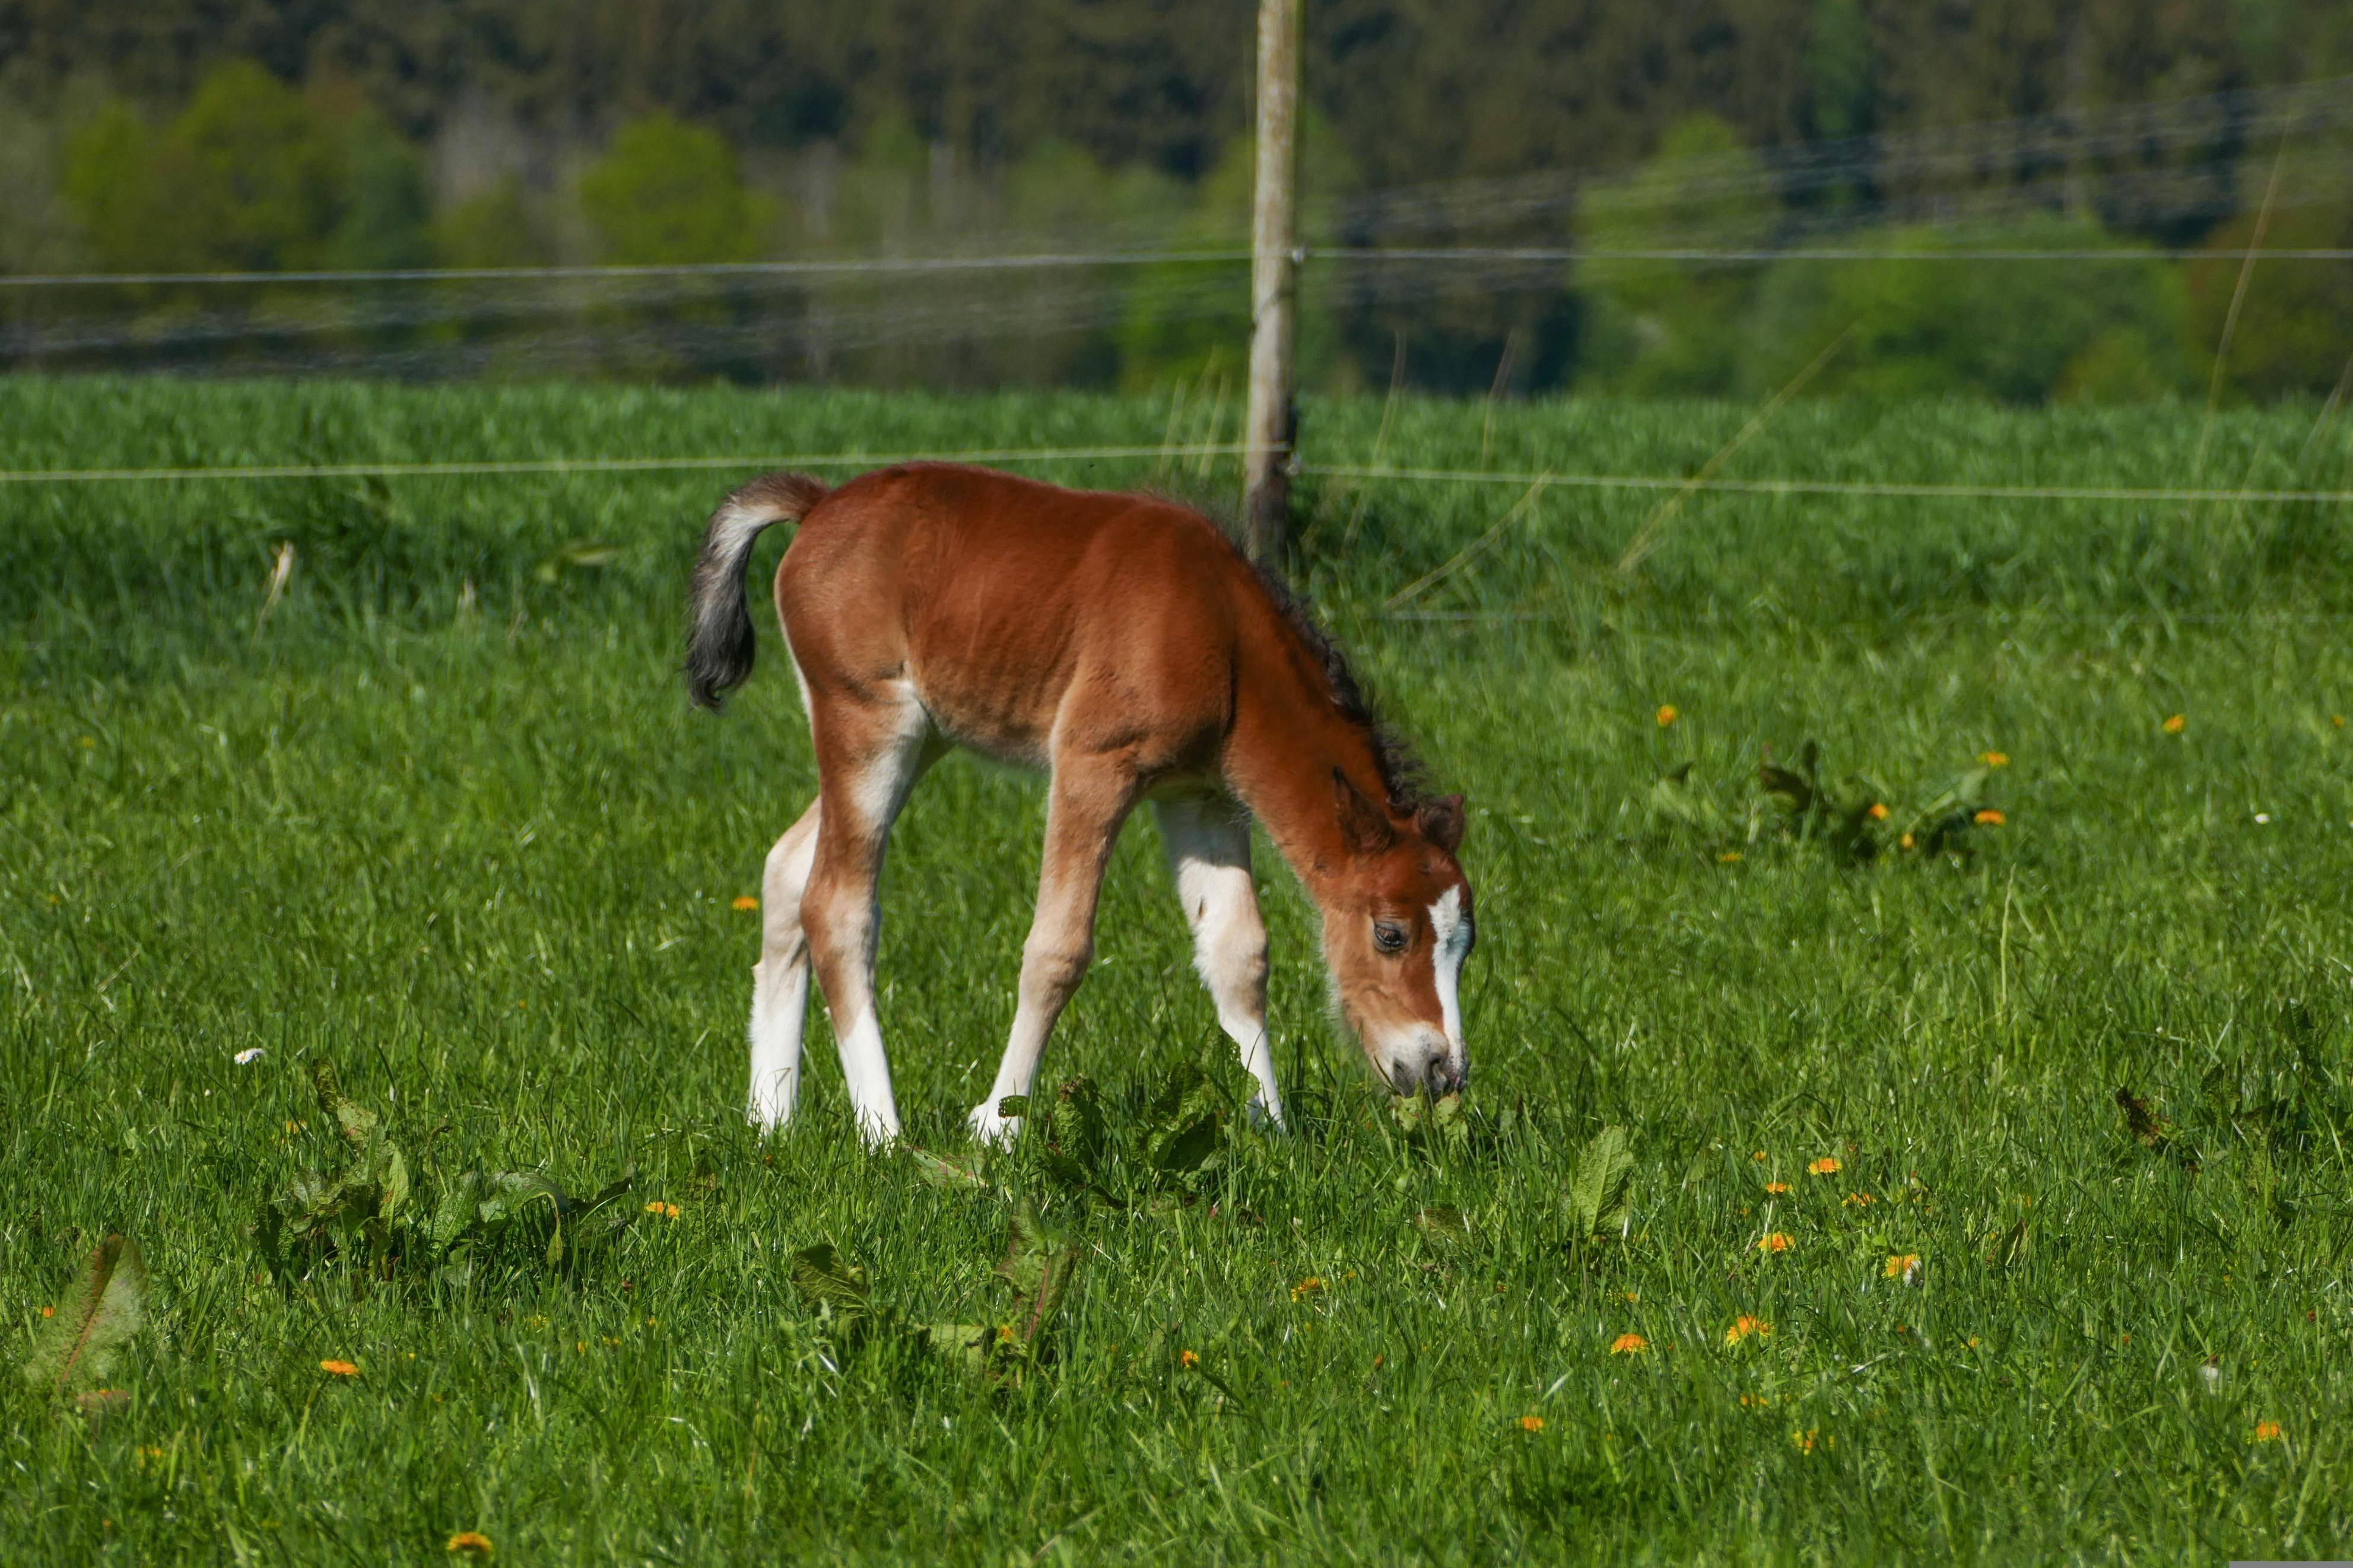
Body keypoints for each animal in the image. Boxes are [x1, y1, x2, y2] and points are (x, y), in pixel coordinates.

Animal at [682, 463, 1478, 1142]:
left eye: (1464, 945)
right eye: (1390, 935)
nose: (1441, 1069)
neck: (1219, 632)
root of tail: (819, 503)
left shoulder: (1200, 796)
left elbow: (1238, 952)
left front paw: (1272, 1131)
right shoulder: (1093, 765)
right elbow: (1057, 949)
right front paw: (998, 1126)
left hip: (923, 734)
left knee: (786, 867)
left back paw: (772, 1118)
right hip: (869, 723)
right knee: (838, 903)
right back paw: (882, 1130)